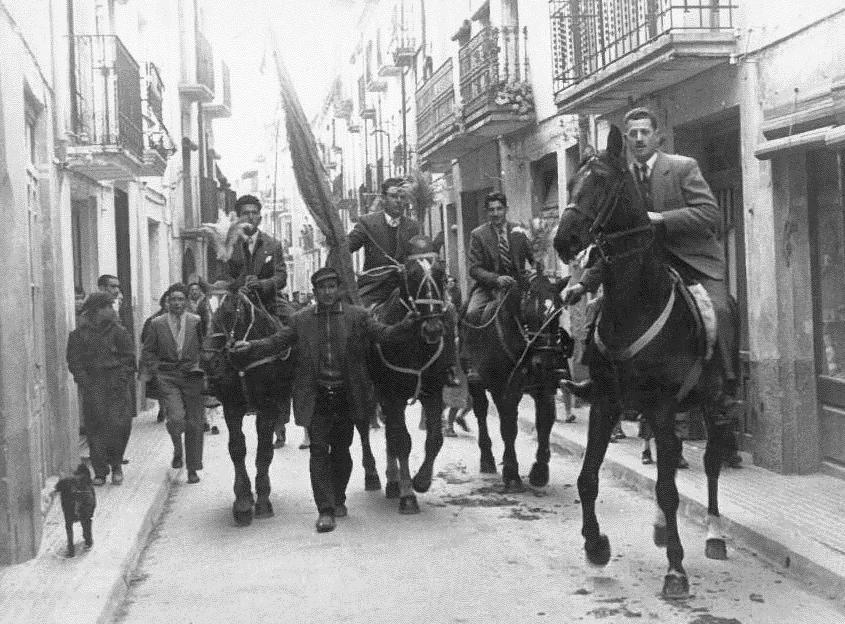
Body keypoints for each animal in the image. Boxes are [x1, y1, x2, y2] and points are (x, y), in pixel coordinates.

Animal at [200, 288, 294, 528]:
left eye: (229, 311)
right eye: (200, 310)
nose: (208, 360)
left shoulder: (268, 407)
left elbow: (264, 451)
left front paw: (262, 501)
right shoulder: (231, 407)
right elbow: (237, 449)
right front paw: (242, 502)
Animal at [364, 245, 452, 512]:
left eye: (441, 273)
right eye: (411, 275)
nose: (433, 329)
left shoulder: (433, 392)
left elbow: (434, 438)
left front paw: (422, 480)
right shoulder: (392, 396)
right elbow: (402, 441)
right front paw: (408, 494)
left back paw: (392, 481)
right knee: (367, 431)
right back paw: (375, 476)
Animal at [462, 272, 572, 492]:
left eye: (556, 315)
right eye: (529, 313)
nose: (545, 362)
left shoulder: (545, 389)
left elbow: (545, 423)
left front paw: (540, 471)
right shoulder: (504, 390)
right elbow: (509, 428)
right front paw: (512, 473)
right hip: (476, 384)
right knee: (481, 412)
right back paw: (487, 460)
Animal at [552, 127, 732, 600]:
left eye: (601, 183)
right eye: (571, 182)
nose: (563, 241)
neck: (633, 302)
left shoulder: (664, 405)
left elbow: (670, 489)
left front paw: (676, 571)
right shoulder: (606, 403)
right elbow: (587, 478)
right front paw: (596, 546)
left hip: (710, 401)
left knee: (709, 464)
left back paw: (713, 534)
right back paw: (660, 528)